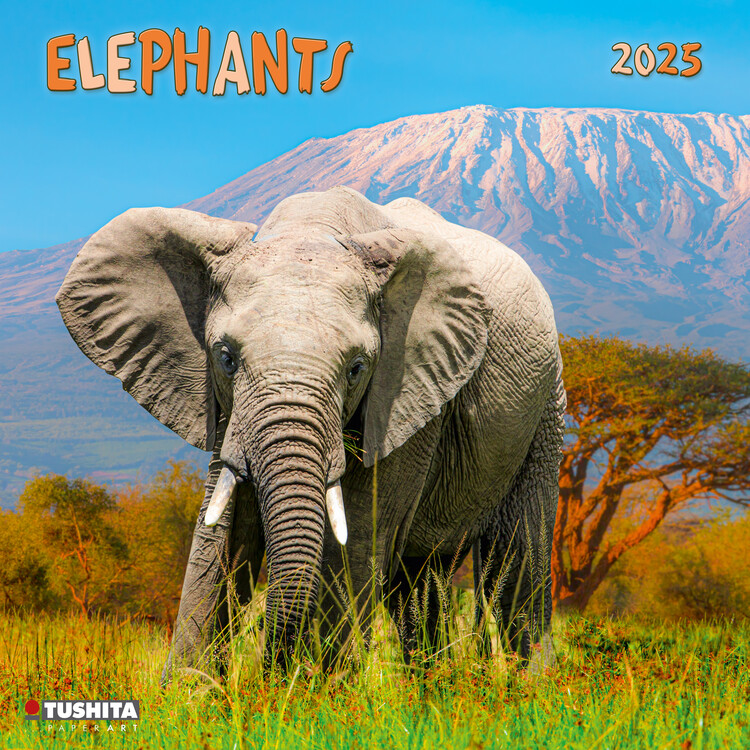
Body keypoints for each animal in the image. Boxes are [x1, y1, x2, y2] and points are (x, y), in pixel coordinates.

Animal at [56, 186, 566, 676]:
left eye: (357, 368)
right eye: (225, 357)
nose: (268, 668)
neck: (313, 229)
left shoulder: (408, 392)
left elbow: (356, 535)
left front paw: (321, 689)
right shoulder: (226, 411)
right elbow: (222, 530)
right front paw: (191, 689)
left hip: (545, 407)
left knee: (517, 563)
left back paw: (529, 685)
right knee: (422, 583)